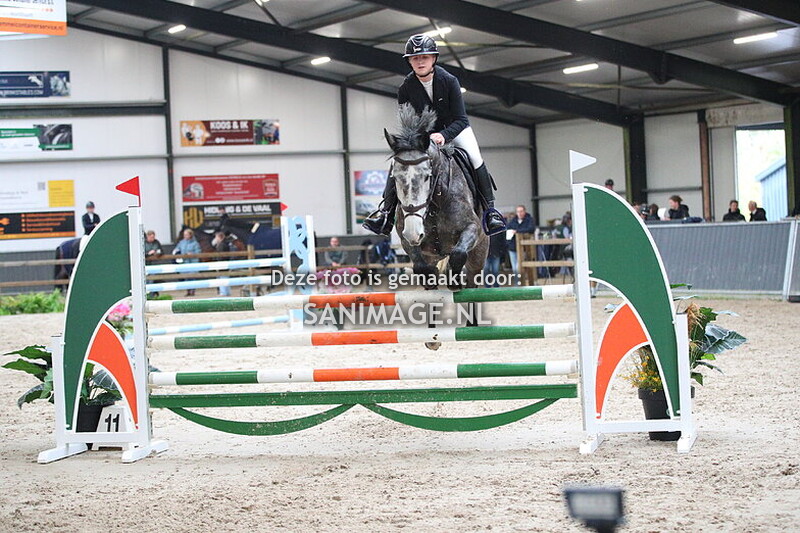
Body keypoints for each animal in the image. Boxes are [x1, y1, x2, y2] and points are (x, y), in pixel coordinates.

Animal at [384, 104, 488, 293]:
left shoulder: (473, 227)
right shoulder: (407, 239)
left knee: (472, 277)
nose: (413, 232)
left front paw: (454, 281)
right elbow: (421, 267)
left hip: (479, 254)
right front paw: (430, 278)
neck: (434, 204)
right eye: (394, 177)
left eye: (427, 176)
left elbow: (458, 254)